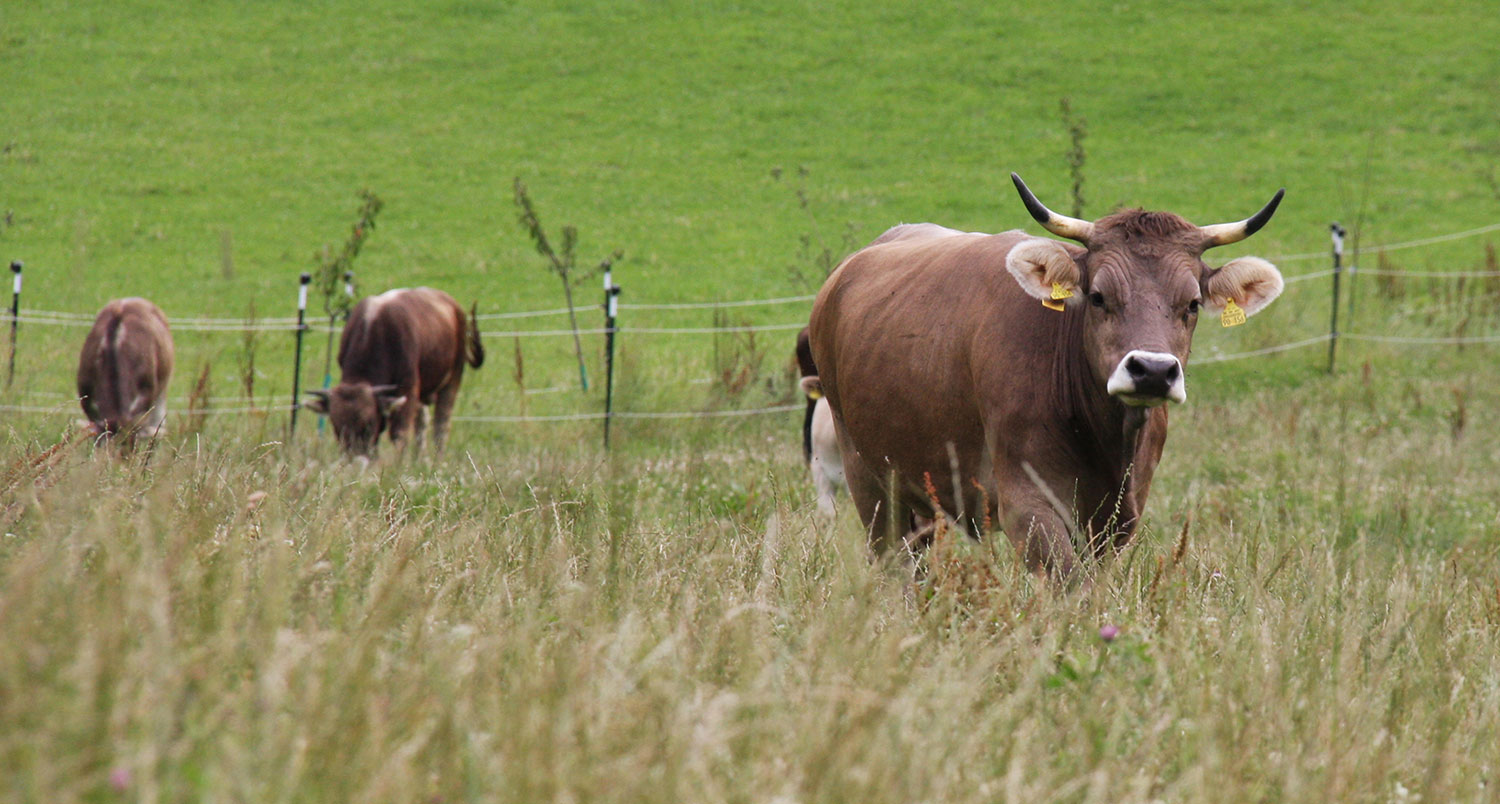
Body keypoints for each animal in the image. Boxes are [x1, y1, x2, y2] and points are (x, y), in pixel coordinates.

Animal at [306, 286, 486, 462]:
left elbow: (400, 434)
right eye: (337, 425)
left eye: (369, 423)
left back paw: (437, 462)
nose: (355, 458)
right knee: (422, 423)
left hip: (452, 378)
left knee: (441, 425)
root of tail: (454, 306)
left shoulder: (408, 388)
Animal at [810, 174, 1290, 579]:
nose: (1153, 371)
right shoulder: (1028, 505)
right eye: (1097, 296)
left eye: (1192, 304)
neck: (1103, 440)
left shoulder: (1117, 516)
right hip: (868, 480)